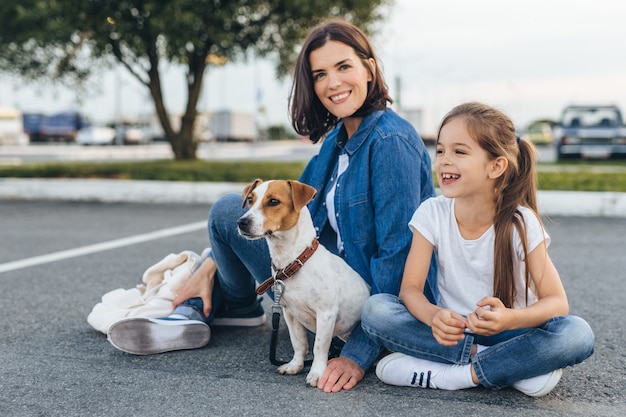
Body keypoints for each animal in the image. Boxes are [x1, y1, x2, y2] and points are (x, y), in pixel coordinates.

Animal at [236, 177, 368, 386]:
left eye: (273, 201)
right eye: (250, 199)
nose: (242, 222)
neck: (294, 262)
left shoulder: (326, 314)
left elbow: (319, 347)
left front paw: (317, 372)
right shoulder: (289, 313)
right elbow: (298, 343)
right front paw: (295, 365)